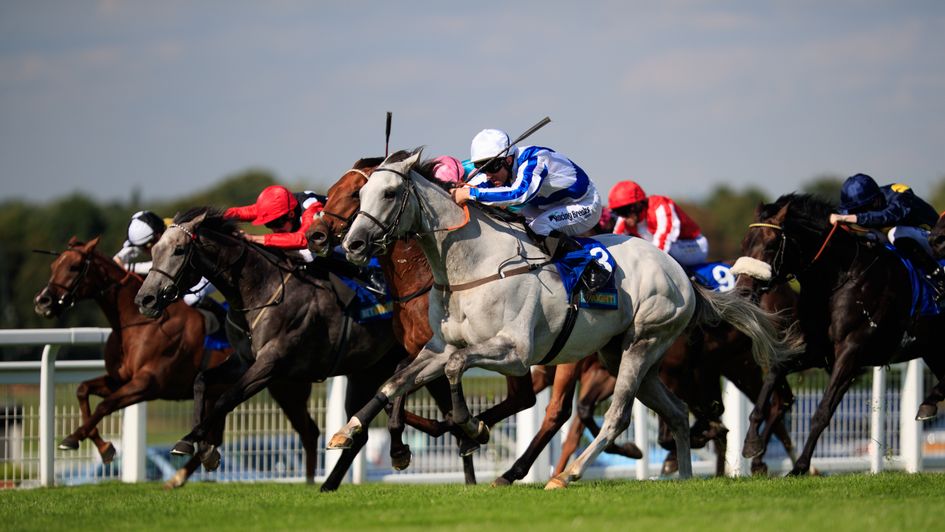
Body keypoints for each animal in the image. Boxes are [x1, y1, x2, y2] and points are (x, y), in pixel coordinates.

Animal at [136, 210, 410, 492]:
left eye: (179, 250)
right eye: (154, 250)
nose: (145, 299)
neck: (260, 290)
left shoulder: (271, 364)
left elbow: (227, 397)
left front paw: (193, 442)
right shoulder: (244, 360)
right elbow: (201, 381)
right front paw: (203, 449)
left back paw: (396, 450)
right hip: (365, 372)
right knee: (363, 429)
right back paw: (330, 482)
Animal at [736, 193, 944, 476]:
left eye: (770, 246)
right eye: (745, 243)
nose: (743, 292)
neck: (842, 277)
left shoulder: (851, 353)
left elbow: (822, 413)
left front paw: (800, 467)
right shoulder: (815, 349)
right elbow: (773, 377)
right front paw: (751, 444)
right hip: (933, 349)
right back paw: (928, 403)